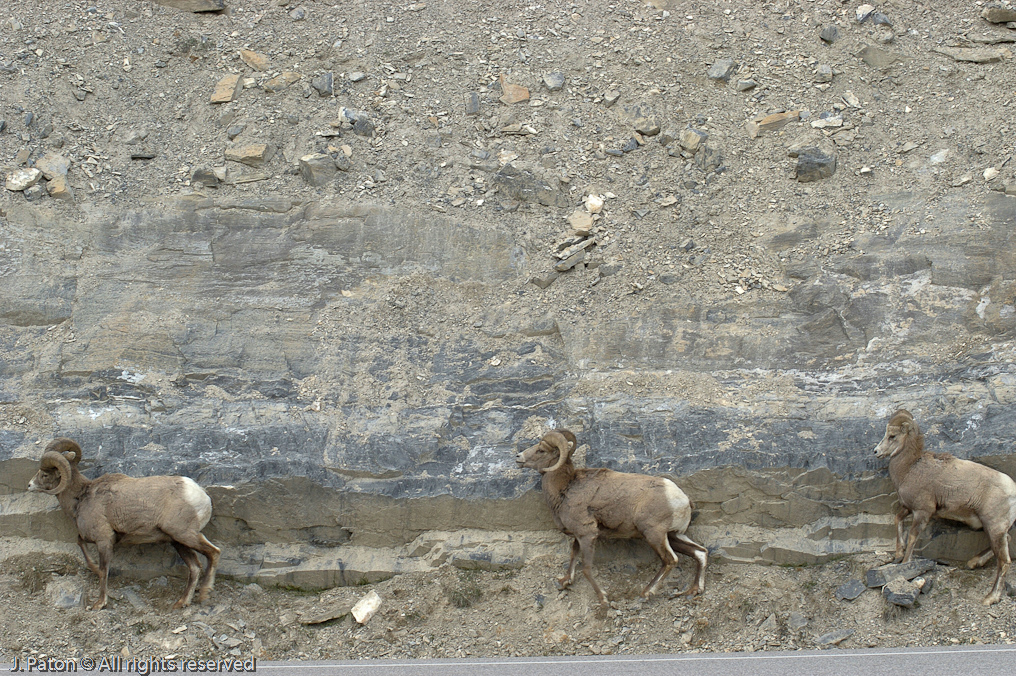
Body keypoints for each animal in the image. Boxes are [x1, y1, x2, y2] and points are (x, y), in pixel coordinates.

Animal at [27, 437, 220, 609]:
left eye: (44, 474)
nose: (29, 485)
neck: (82, 497)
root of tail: (201, 495)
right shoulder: (93, 538)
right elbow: (81, 543)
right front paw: (93, 568)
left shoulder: (104, 540)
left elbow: (104, 571)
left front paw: (99, 604)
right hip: (177, 541)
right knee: (195, 567)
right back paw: (181, 602)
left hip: (184, 534)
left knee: (213, 552)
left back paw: (204, 594)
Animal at [516, 428, 707, 601]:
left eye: (541, 450)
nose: (518, 457)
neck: (565, 488)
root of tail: (682, 499)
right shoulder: (578, 536)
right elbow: (573, 555)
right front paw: (565, 581)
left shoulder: (587, 534)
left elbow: (586, 568)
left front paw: (603, 598)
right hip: (675, 536)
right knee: (700, 552)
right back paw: (694, 590)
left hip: (654, 534)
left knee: (670, 560)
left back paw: (646, 593)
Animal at [873, 408, 1016, 601]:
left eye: (892, 436)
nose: (876, 451)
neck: (910, 468)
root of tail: (1013, 491)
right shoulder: (909, 508)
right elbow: (897, 519)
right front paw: (899, 552)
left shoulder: (922, 512)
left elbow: (913, 537)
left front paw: (905, 562)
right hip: (993, 529)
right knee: (1007, 541)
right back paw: (973, 562)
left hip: (994, 528)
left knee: (1004, 562)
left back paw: (990, 598)